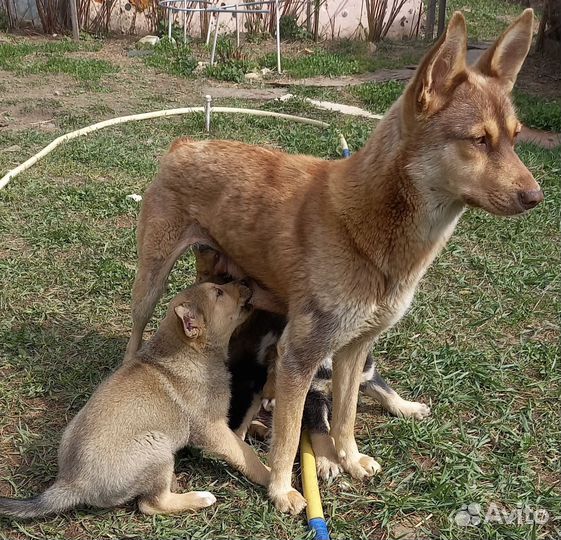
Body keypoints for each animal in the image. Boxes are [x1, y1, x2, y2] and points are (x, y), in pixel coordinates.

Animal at [0, 280, 270, 516]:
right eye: (218, 293)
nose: (246, 281)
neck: (192, 351)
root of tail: (73, 482)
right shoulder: (211, 428)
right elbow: (245, 453)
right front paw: (271, 477)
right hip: (157, 446)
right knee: (151, 504)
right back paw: (199, 498)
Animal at [126, 10, 540, 512]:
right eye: (478, 140)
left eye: (516, 138)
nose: (536, 197)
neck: (368, 230)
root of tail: (185, 143)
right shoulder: (299, 356)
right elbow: (290, 439)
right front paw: (283, 489)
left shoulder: (353, 350)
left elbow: (344, 415)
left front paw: (350, 458)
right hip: (150, 281)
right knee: (138, 333)